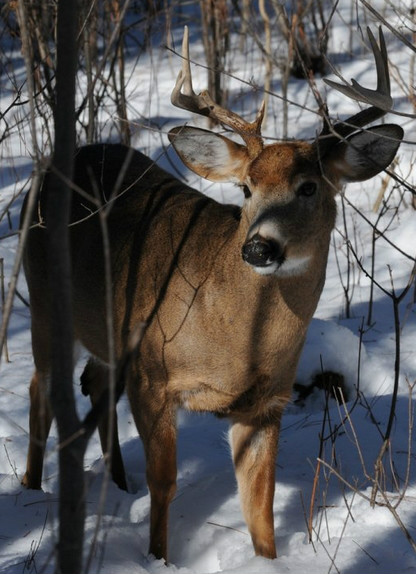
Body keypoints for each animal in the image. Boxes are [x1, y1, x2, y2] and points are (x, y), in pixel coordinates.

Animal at [22, 27, 404, 564]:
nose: (259, 247)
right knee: (40, 387)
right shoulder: (153, 375)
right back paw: (32, 488)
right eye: (245, 188)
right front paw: (158, 558)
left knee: (93, 382)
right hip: (43, 299)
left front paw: (269, 563)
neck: (235, 343)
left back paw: (117, 484)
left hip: (105, 330)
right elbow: (164, 482)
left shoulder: (266, 402)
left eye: (309, 187)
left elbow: (259, 504)